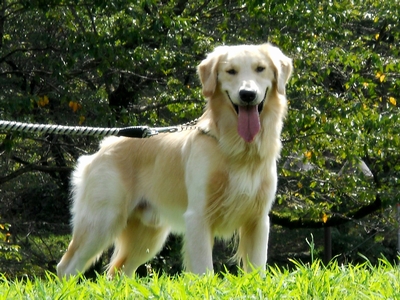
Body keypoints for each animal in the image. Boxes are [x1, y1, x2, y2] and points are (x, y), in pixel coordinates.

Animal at [56, 43, 292, 278]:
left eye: (260, 68)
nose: (247, 95)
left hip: (146, 235)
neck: (237, 148)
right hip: (102, 221)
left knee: (119, 272)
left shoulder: (258, 221)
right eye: (230, 71)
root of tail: (102, 148)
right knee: (66, 266)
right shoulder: (198, 217)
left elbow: (257, 271)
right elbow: (205, 270)